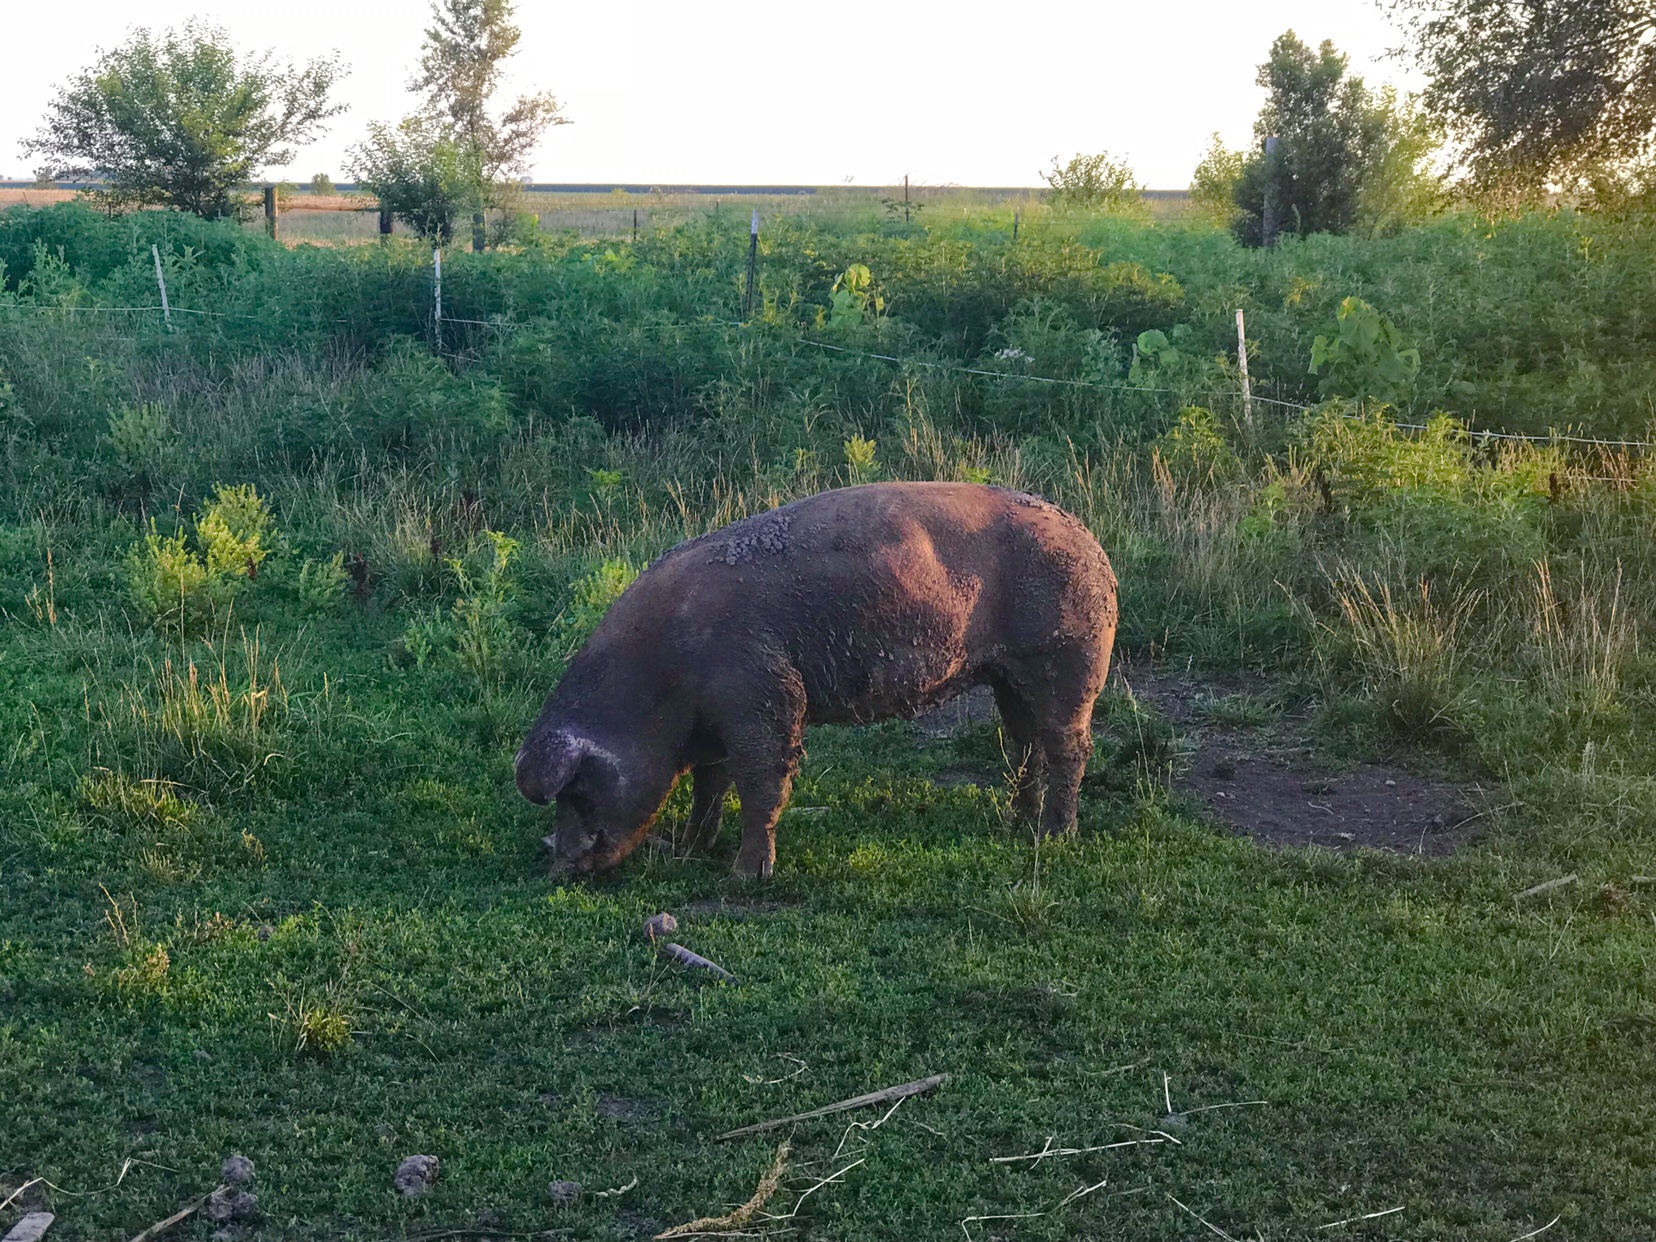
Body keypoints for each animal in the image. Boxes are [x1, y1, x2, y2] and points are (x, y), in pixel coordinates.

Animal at [515, 481, 1117, 879]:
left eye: (580, 788)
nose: (558, 869)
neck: (659, 680)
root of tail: (1092, 544)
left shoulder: (762, 694)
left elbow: (761, 781)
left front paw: (744, 876)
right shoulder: (715, 724)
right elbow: (711, 786)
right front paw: (689, 851)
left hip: (1068, 660)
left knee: (1069, 747)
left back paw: (1055, 836)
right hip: (1006, 676)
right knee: (1023, 743)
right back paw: (1018, 824)